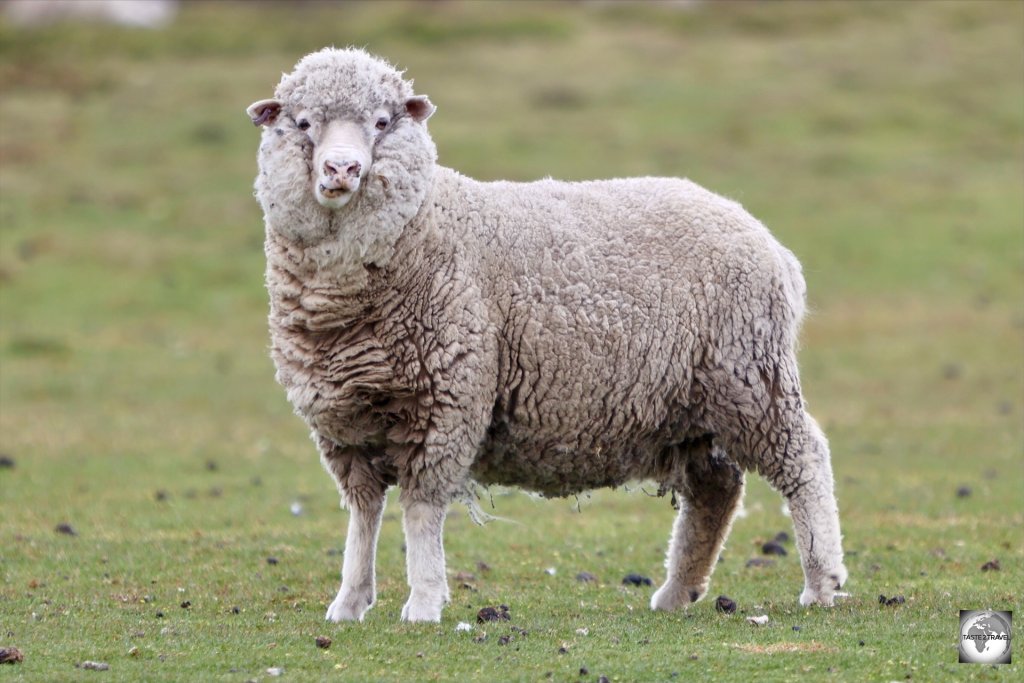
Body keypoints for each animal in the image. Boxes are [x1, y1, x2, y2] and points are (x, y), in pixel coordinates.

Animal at [245, 46, 847, 626]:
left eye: (382, 122)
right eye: (302, 122)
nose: (342, 167)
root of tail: (767, 240)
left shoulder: (445, 401)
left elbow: (421, 509)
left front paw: (423, 603)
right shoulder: (343, 420)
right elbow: (364, 513)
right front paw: (349, 602)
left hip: (750, 376)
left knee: (804, 462)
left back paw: (822, 582)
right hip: (694, 402)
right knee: (714, 490)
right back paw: (678, 592)